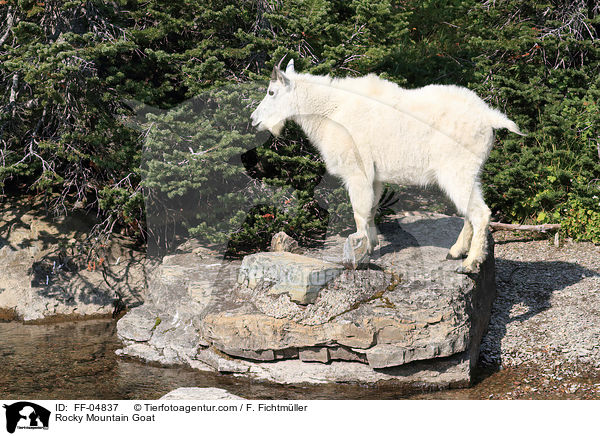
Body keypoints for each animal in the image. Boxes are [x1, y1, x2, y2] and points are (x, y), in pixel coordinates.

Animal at [251, 59, 524, 272]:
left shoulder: (357, 172)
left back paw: (470, 263)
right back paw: (456, 251)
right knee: (470, 210)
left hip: (456, 170)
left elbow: (359, 211)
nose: (254, 120)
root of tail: (489, 117)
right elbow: (371, 209)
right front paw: (371, 245)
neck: (331, 110)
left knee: (481, 213)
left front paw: (359, 252)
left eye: (271, 92)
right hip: (469, 173)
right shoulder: (375, 177)